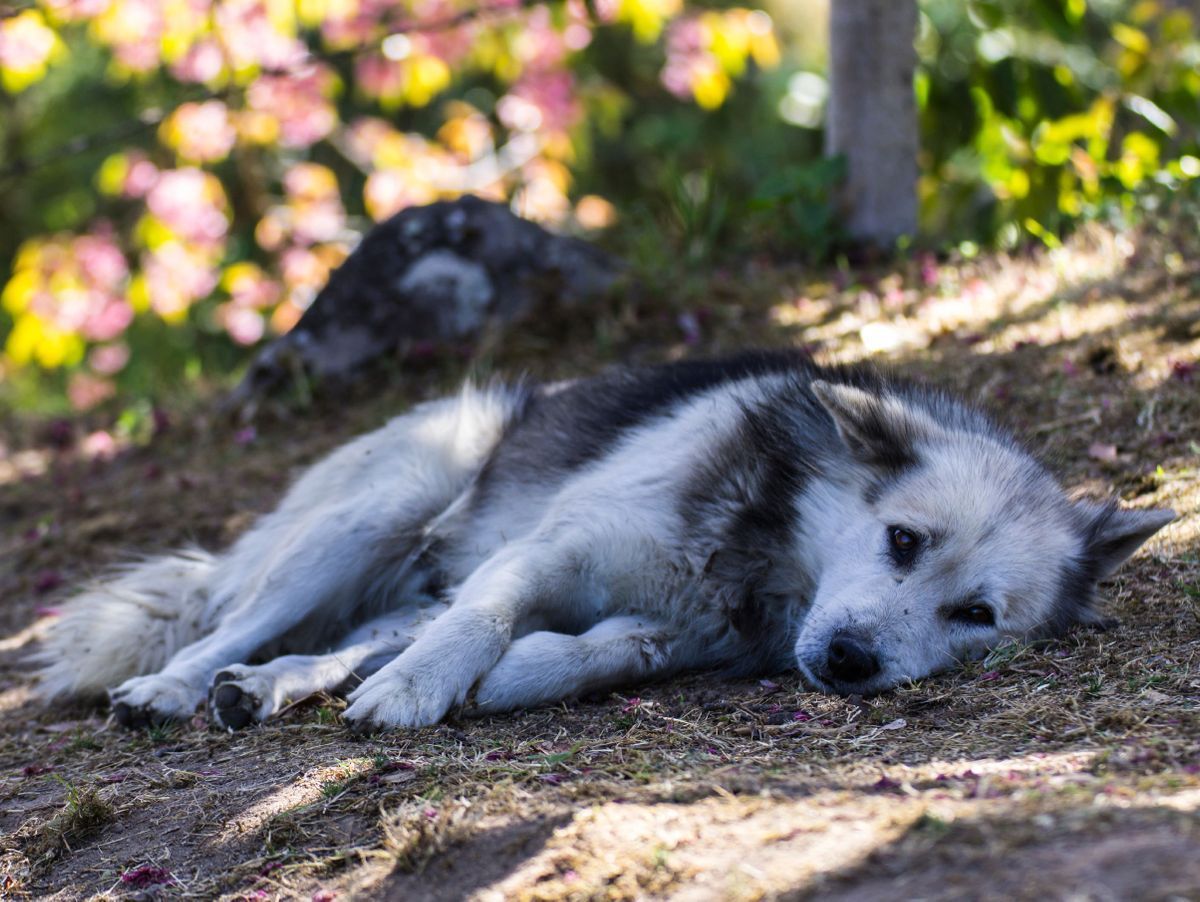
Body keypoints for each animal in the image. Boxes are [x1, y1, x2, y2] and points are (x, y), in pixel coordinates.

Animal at [32, 347, 1176, 729]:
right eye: (901, 538)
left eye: (976, 615)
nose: (852, 662)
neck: (762, 549)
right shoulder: (548, 552)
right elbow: (486, 623)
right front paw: (424, 693)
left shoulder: (678, 633)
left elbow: (597, 649)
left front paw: (511, 677)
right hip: (370, 517)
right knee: (225, 625)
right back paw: (172, 688)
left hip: (399, 583)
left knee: (342, 643)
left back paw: (268, 689)